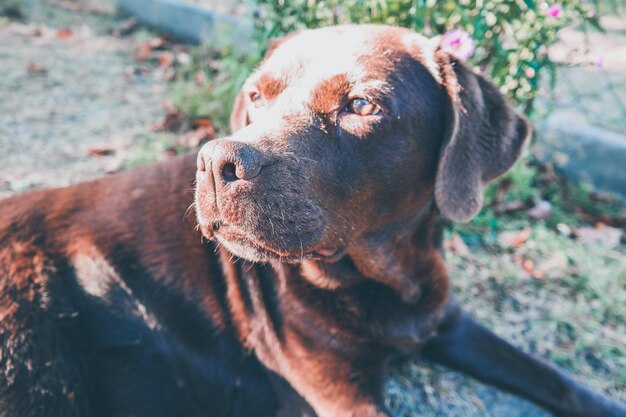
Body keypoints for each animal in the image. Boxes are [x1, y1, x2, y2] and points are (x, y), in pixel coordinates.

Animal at [0, 24, 620, 414]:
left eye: (362, 105)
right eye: (256, 95)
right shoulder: (342, 394)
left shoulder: (448, 321)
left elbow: (559, 380)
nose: (215, 162)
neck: (387, 278)